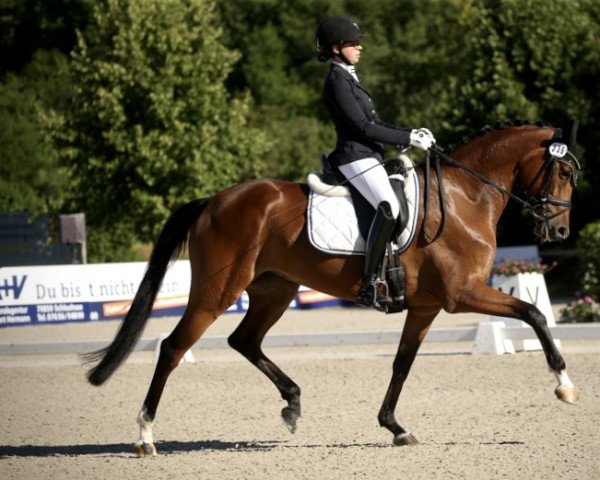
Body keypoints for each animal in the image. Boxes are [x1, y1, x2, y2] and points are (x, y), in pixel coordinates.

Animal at [85, 119, 580, 454]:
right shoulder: (462, 295)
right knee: (173, 347)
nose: (558, 232)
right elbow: (534, 313)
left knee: (244, 340)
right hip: (218, 291)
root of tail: (214, 201)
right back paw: (145, 435)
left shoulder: (426, 306)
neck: (463, 197)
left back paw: (292, 403)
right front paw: (564, 385)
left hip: (275, 290)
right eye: (563, 173)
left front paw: (394, 426)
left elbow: (402, 364)